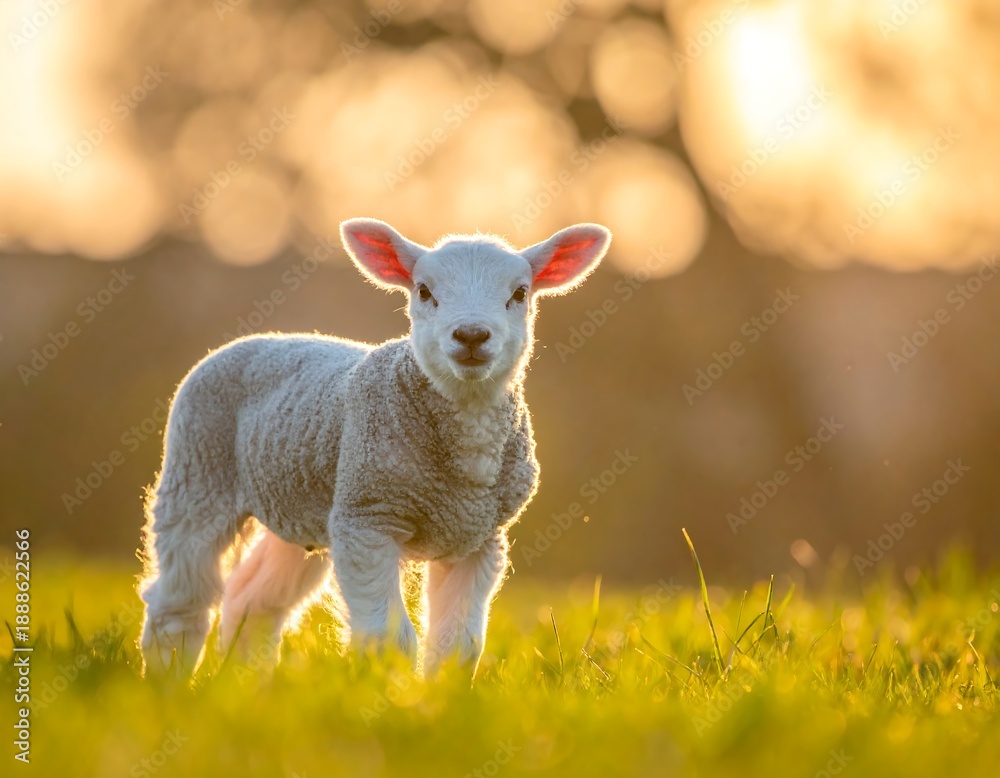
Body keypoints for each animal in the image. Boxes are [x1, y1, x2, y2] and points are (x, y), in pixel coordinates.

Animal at [138, 217, 611, 677]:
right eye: (424, 290)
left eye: (519, 293)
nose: (472, 335)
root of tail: (257, 338)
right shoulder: (367, 519)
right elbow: (390, 639)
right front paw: (389, 690)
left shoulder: (478, 540)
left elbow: (457, 647)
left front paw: (443, 697)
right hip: (197, 475)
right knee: (179, 604)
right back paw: (168, 683)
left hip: (300, 504)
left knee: (252, 602)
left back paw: (245, 685)